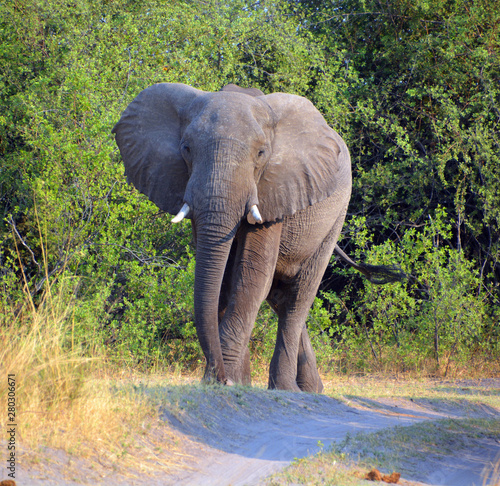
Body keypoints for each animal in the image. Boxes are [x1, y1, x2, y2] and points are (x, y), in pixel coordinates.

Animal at [112, 83, 402, 392]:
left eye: (262, 153)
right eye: (186, 148)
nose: (220, 377)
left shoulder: (275, 189)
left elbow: (250, 278)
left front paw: (227, 382)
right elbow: (222, 281)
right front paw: (234, 382)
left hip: (336, 214)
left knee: (299, 297)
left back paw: (287, 389)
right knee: (280, 297)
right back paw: (311, 389)